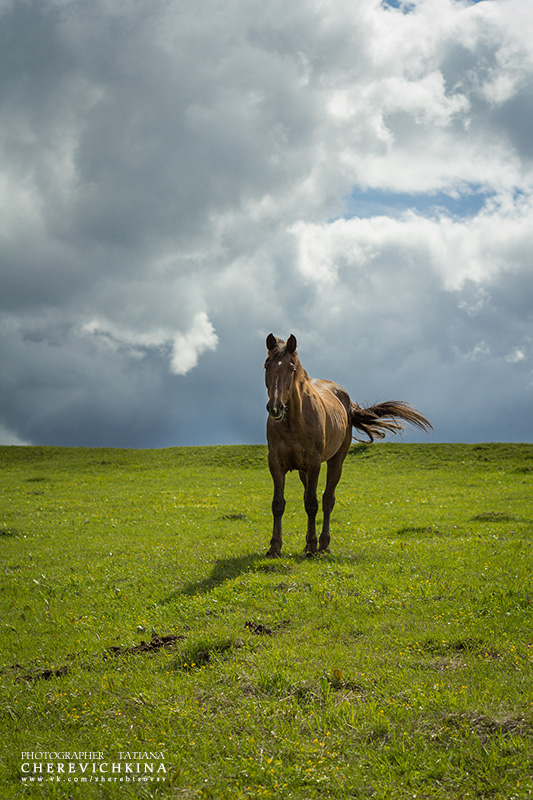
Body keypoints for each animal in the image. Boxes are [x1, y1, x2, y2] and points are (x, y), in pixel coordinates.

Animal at [264, 332, 430, 556]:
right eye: (266, 366)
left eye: (291, 367)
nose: (275, 408)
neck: (293, 422)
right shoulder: (275, 462)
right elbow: (278, 504)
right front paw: (274, 547)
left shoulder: (314, 463)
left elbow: (312, 504)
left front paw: (312, 546)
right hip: (303, 470)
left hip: (336, 461)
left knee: (327, 500)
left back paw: (323, 544)